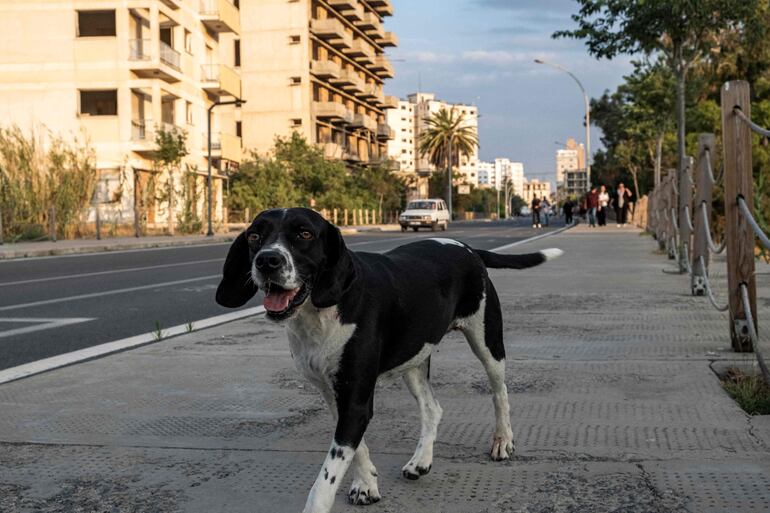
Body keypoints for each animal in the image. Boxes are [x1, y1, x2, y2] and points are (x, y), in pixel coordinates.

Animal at [214, 208, 560, 512]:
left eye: (304, 234)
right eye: (255, 236)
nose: (266, 260)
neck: (320, 311)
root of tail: (468, 248)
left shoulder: (355, 400)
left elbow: (325, 480)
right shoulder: (336, 395)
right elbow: (355, 450)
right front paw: (367, 484)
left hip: (487, 342)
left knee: (500, 393)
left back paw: (503, 441)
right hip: (414, 358)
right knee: (433, 408)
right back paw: (421, 461)